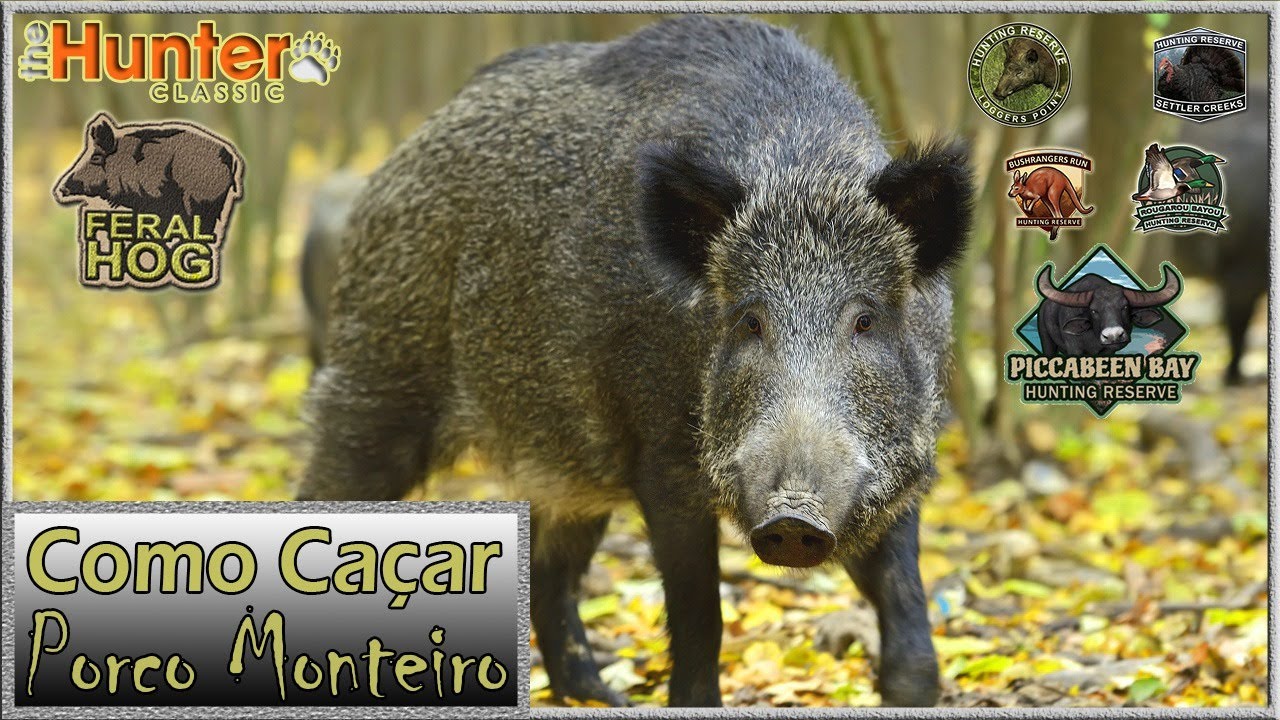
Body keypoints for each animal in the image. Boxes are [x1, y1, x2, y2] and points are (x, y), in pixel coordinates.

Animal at [298, 16, 973, 708]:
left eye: (866, 319)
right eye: (748, 320)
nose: (794, 516)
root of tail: (396, 162)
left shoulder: (898, 464)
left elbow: (904, 597)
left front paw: (911, 688)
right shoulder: (663, 457)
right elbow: (700, 611)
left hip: (570, 464)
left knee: (549, 573)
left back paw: (600, 695)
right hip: (377, 374)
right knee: (328, 488)